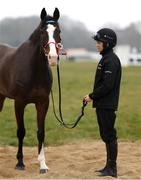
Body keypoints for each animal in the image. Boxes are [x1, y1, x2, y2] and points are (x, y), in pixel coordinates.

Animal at [0, 7, 61, 173]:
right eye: (42, 32)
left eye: (58, 31)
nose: (53, 58)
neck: (34, 69)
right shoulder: (19, 103)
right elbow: (21, 132)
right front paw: (20, 163)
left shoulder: (43, 103)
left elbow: (41, 133)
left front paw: (43, 165)